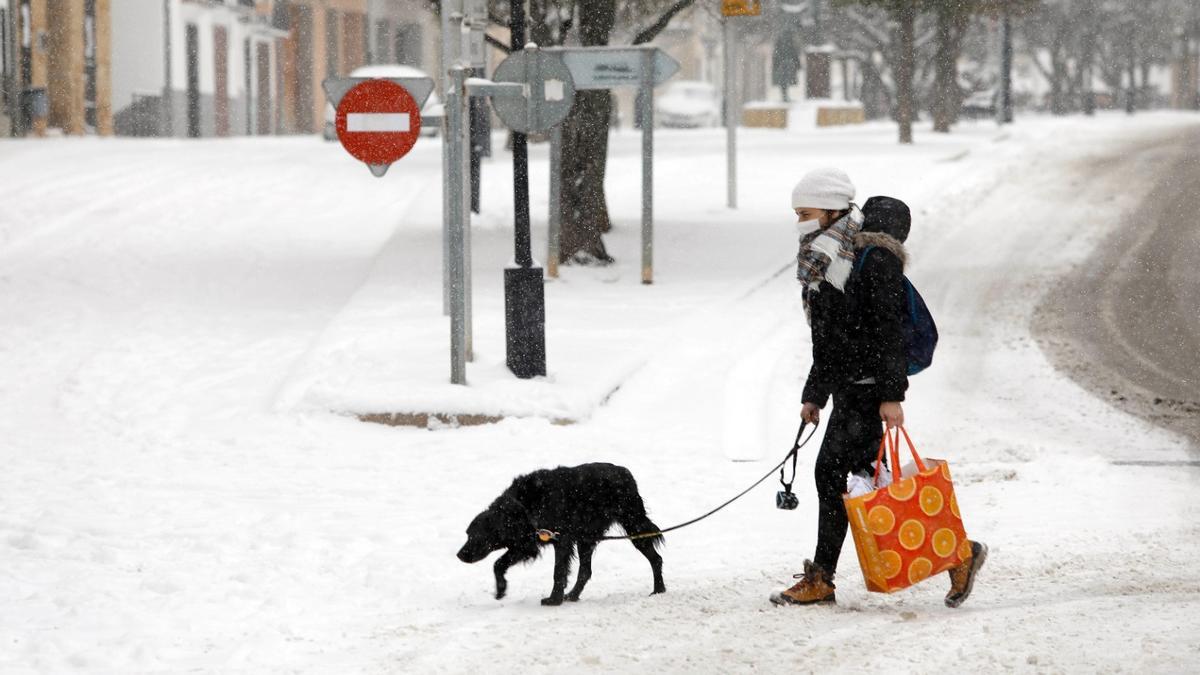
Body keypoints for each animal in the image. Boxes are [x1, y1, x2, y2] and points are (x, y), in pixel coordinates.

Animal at [456, 461, 667, 605]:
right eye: (467, 534)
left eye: (477, 536)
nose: (459, 555)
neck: (522, 507)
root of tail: (624, 472)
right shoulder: (527, 543)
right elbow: (499, 563)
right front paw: (501, 589)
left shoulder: (560, 541)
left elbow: (558, 572)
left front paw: (553, 599)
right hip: (585, 539)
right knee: (585, 571)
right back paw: (572, 595)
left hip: (634, 526)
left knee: (656, 558)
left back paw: (659, 590)